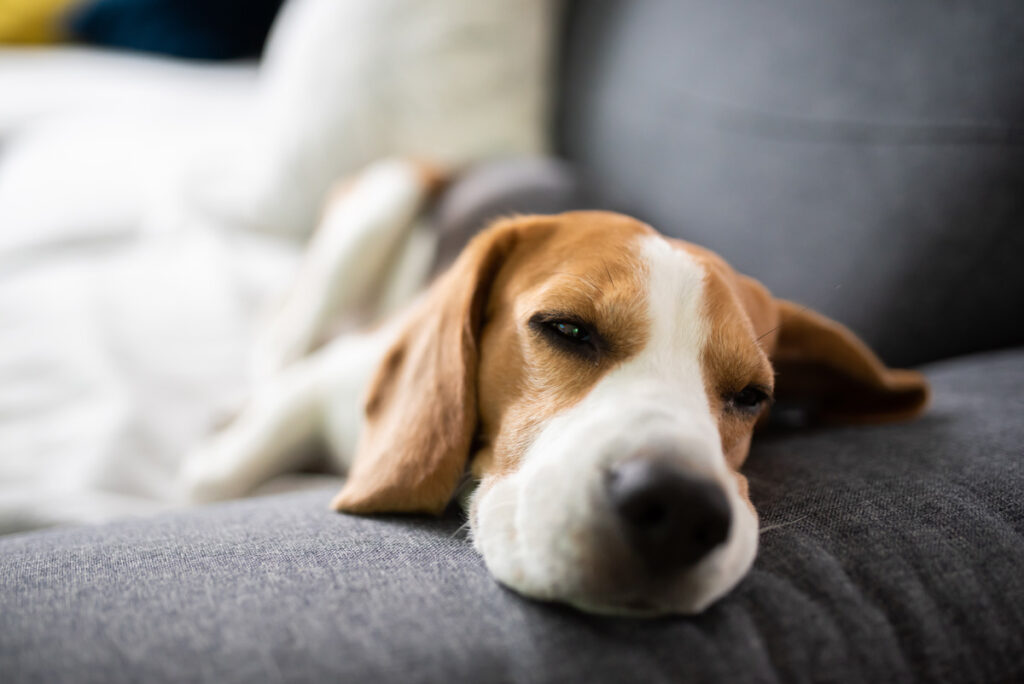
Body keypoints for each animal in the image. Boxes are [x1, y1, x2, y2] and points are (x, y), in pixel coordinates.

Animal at [182, 163, 929, 614]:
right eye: (567, 329)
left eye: (752, 395)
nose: (681, 510)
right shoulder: (320, 386)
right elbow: (208, 482)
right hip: (382, 198)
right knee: (278, 344)